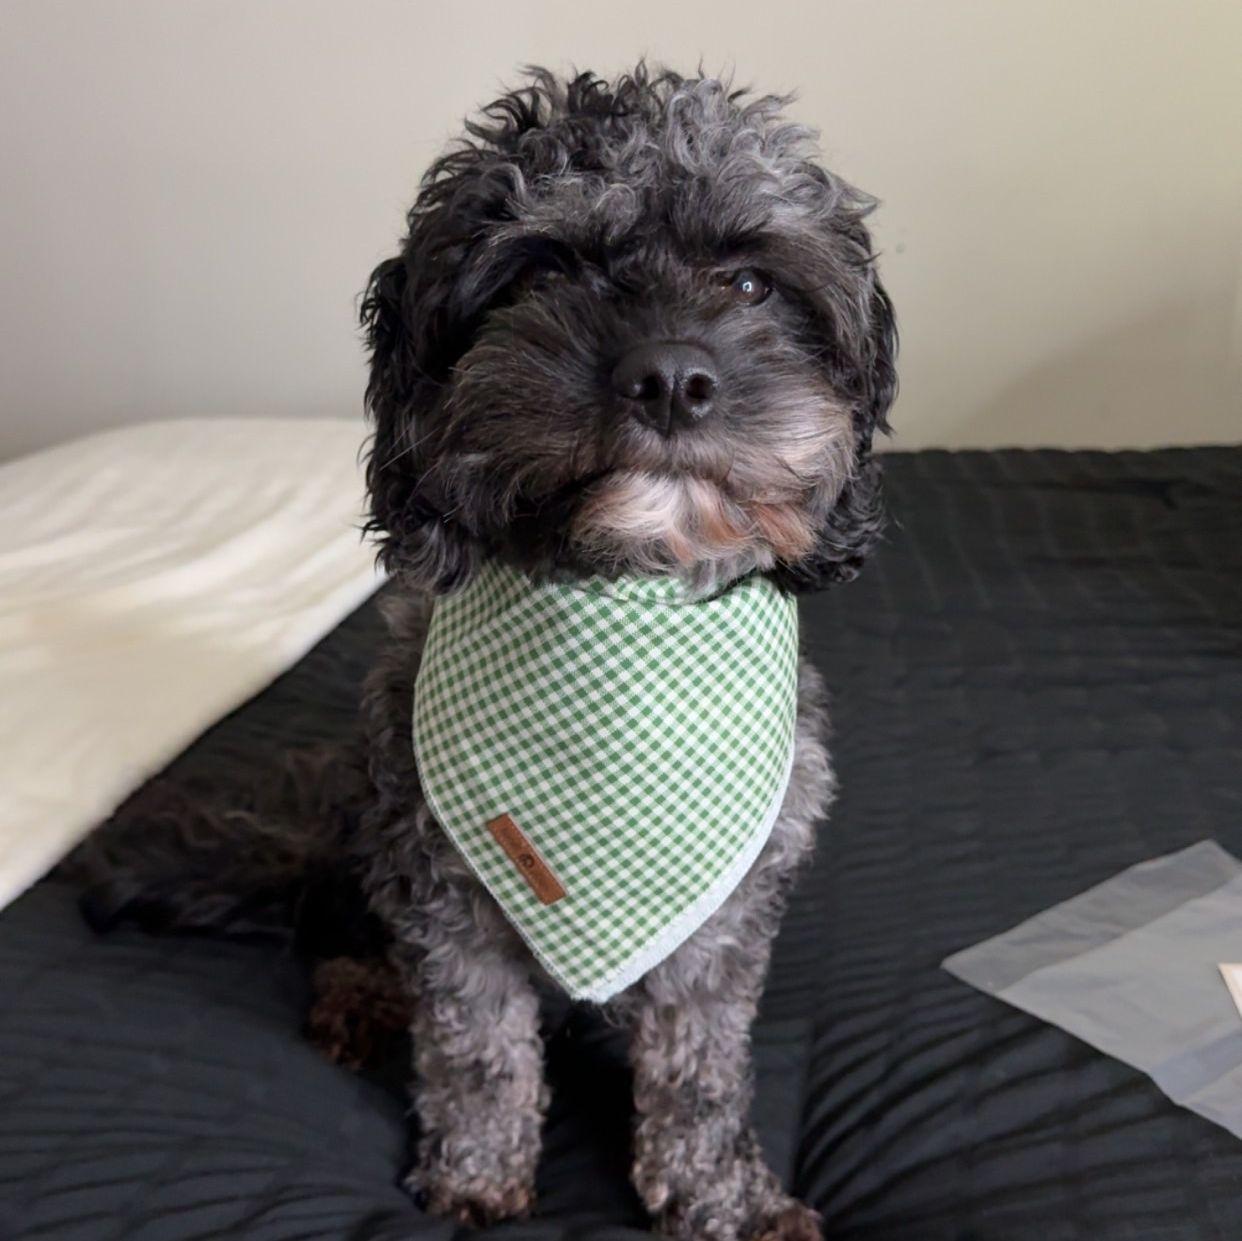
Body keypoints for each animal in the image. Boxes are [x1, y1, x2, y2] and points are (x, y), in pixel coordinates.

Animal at [76, 65, 896, 1241]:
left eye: (750, 282)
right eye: (543, 270)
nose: (671, 377)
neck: (623, 594)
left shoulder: (727, 918)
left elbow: (700, 1068)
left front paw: (720, 1197)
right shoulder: (442, 884)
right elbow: (475, 1047)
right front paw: (473, 1175)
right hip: (371, 824)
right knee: (348, 937)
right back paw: (363, 996)